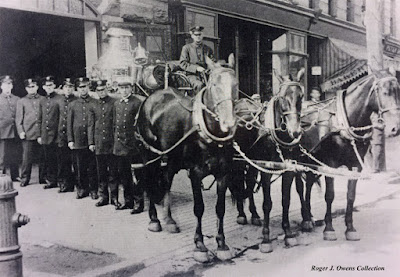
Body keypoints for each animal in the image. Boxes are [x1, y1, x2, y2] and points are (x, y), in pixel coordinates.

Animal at [136, 54, 239, 260]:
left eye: (236, 84)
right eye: (214, 85)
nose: (229, 123)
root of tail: (150, 98)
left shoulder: (223, 173)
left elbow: (220, 208)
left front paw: (221, 244)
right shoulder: (195, 173)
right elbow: (199, 208)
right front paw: (200, 244)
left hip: (171, 158)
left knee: (166, 180)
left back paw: (169, 220)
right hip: (149, 154)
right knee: (150, 181)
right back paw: (154, 220)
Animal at [231, 70, 304, 250]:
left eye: (301, 96)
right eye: (283, 97)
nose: (295, 131)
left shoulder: (288, 170)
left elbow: (286, 200)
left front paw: (288, 233)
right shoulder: (267, 171)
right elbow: (267, 203)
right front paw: (265, 238)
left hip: (253, 162)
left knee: (249, 182)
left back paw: (254, 215)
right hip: (239, 160)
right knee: (238, 182)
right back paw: (242, 214)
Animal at [296, 68, 398, 239]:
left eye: (398, 92)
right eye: (385, 92)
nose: (395, 129)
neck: (345, 121)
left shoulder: (356, 165)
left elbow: (351, 195)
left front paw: (350, 228)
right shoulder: (329, 164)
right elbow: (329, 195)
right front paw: (329, 228)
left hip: (312, 159)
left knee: (309, 183)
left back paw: (309, 217)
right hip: (297, 160)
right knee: (299, 187)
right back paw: (305, 219)